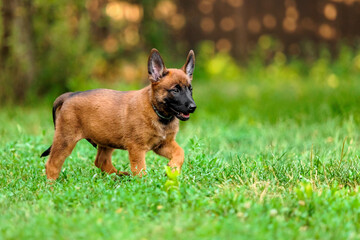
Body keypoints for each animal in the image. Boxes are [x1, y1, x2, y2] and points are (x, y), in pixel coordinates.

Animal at [40, 49, 195, 180]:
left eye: (190, 89)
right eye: (175, 90)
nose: (193, 107)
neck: (157, 111)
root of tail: (70, 95)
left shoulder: (163, 144)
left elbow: (180, 152)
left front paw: (173, 169)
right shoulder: (137, 148)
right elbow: (140, 170)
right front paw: (145, 185)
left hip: (106, 138)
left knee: (101, 161)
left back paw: (119, 176)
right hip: (65, 140)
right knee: (52, 164)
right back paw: (52, 188)